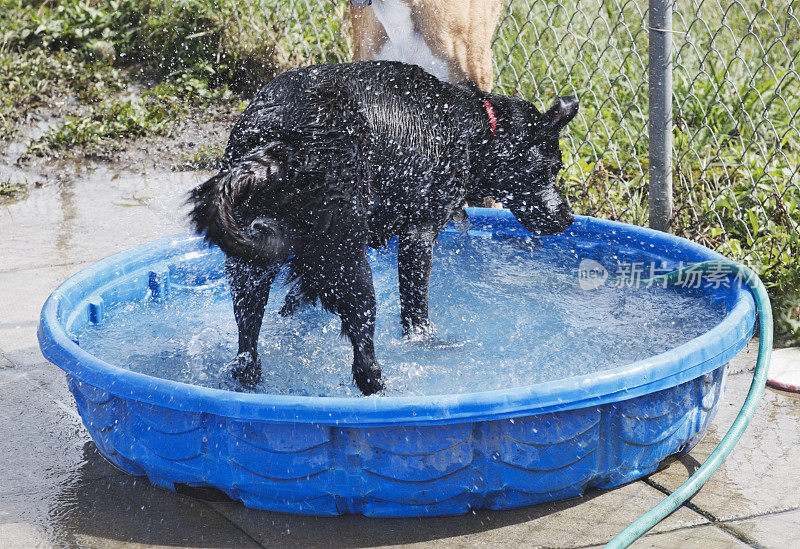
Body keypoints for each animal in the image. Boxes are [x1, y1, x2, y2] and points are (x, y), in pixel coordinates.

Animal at [189, 61, 576, 394]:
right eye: (551, 168)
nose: (568, 218)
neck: (475, 126)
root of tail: (281, 146)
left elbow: (294, 298)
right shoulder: (418, 236)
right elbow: (416, 312)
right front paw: (426, 343)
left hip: (251, 268)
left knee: (246, 351)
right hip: (350, 264)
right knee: (364, 360)